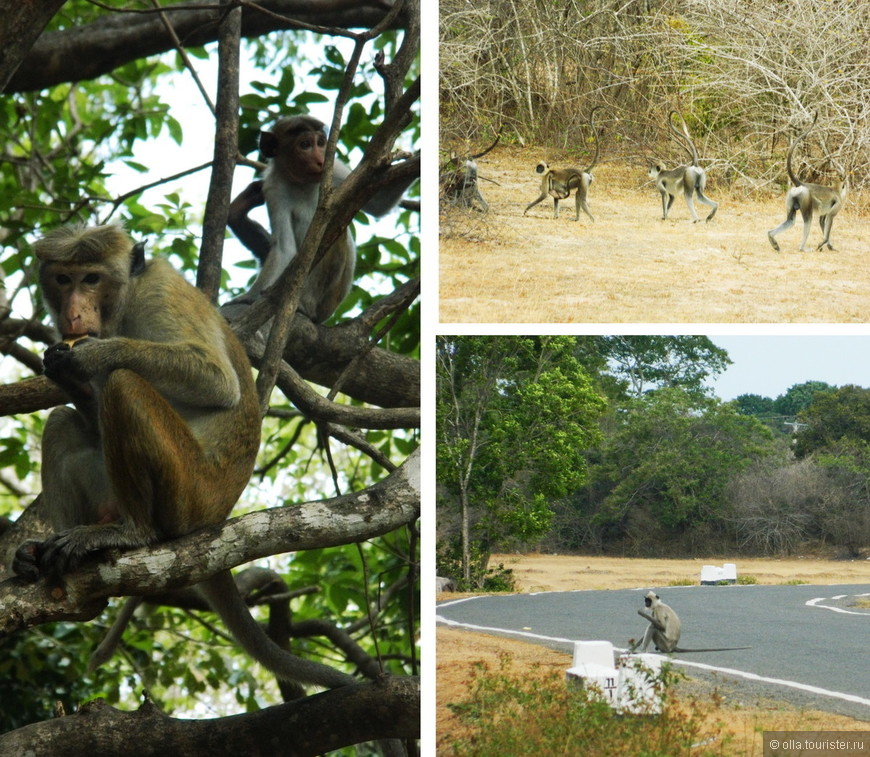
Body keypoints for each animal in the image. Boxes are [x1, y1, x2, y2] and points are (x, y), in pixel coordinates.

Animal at [11, 224, 358, 692]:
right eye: (63, 279)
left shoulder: (159, 294)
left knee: (125, 385)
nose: (73, 313)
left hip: (186, 491)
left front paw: (91, 356)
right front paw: (64, 371)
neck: (124, 303)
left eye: (91, 279)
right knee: (63, 422)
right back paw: (50, 560)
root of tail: (216, 516)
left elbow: (217, 381)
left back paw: (132, 534)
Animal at [225, 114, 416, 322]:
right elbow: (284, 248)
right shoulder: (274, 190)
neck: (302, 183)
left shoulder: (335, 168)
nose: (320, 160)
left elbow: (377, 202)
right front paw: (249, 297)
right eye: (305, 145)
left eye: (321, 143)